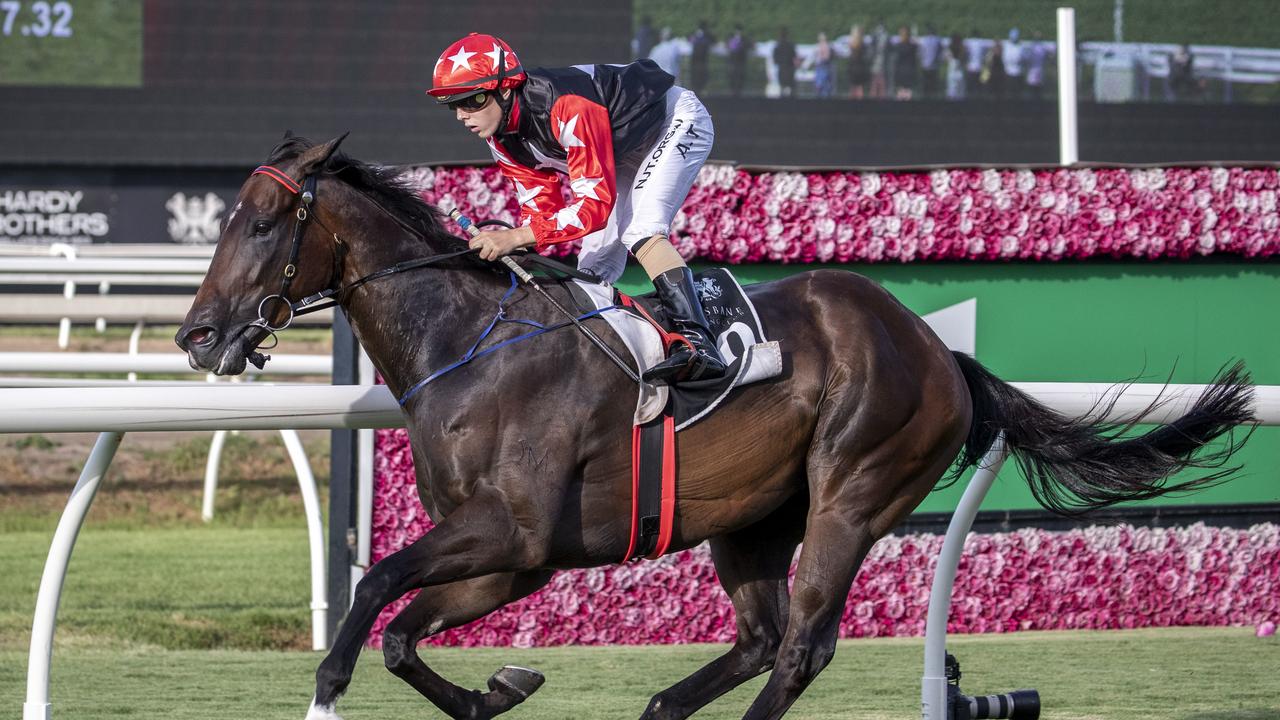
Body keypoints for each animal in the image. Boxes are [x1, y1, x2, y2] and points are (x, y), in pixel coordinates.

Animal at [175, 135, 1254, 717]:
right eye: (222, 219)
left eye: (261, 225)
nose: (196, 334)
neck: (469, 344)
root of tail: (936, 349)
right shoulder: (512, 560)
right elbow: (403, 635)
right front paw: (500, 687)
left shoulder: (509, 533)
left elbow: (374, 592)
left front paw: (326, 687)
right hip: (750, 519)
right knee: (759, 637)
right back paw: (660, 707)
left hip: (852, 492)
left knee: (802, 646)